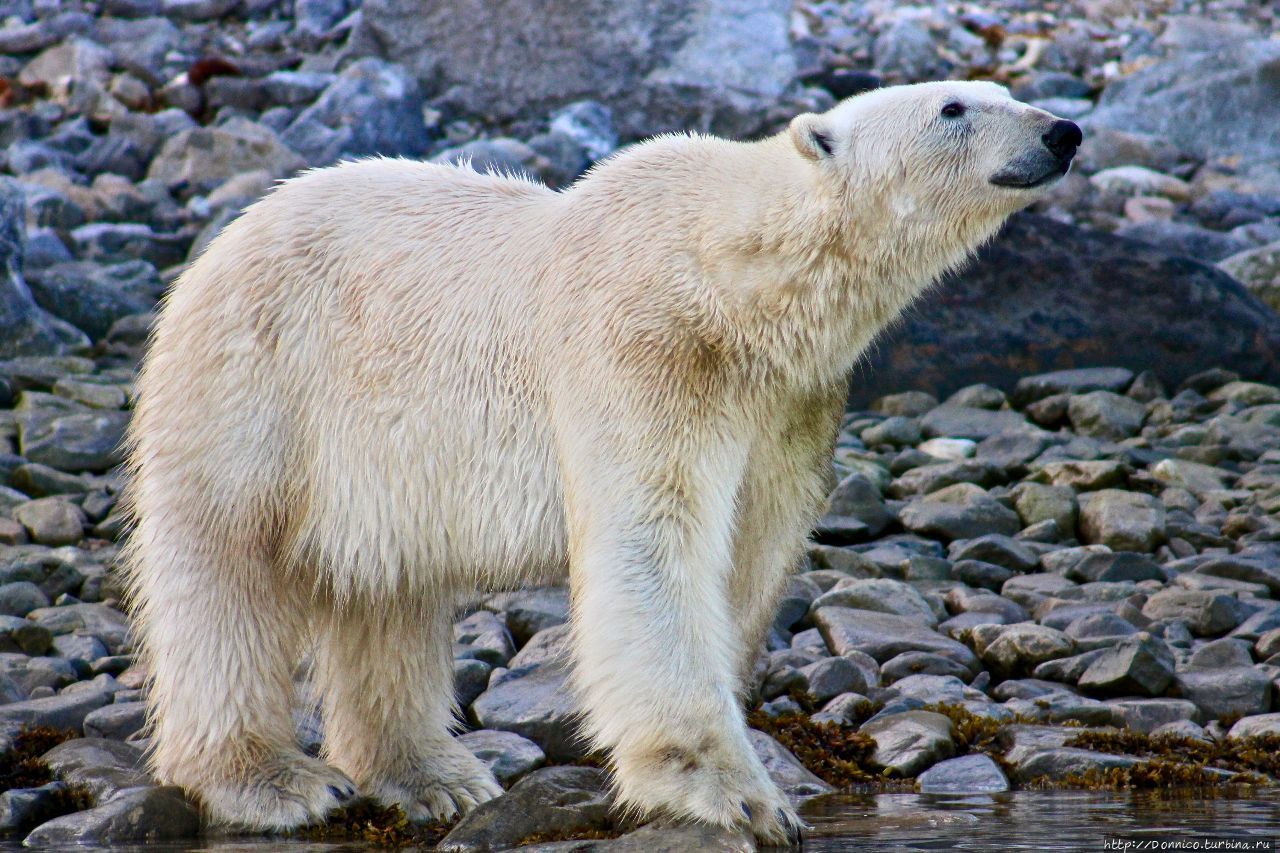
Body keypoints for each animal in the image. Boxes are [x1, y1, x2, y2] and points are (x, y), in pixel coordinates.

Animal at [122, 81, 1080, 845]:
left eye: (1004, 89)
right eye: (953, 107)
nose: (1063, 130)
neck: (732, 280)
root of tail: (221, 243)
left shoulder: (788, 398)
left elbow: (751, 552)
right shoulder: (644, 349)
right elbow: (651, 544)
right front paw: (733, 795)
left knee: (387, 588)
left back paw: (433, 776)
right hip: (262, 383)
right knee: (225, 564)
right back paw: (271, 780)